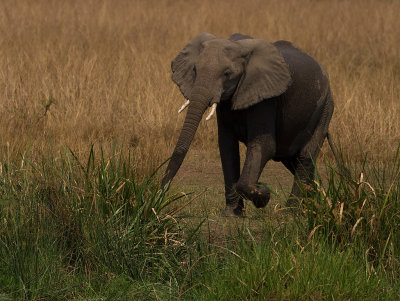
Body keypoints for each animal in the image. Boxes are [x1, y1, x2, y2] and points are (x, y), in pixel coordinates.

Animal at [162, 32, 334, 216]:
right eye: (195, 69)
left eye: (227, 73)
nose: (160, 193)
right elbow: (227, 147)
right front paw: (231, 214)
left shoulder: (266, 98)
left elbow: (264, 145)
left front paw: (263, 195)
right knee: (292, 160)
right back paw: (313, 206)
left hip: (325, 108)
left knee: (305, 156)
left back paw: (291, 212)